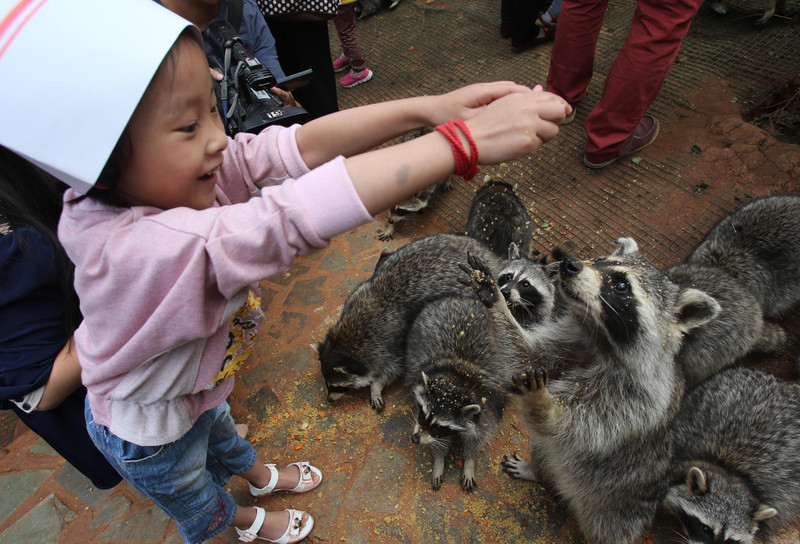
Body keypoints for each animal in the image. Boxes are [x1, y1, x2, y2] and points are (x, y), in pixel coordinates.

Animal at [318, 233, 500, 412]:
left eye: (337, 386)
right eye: (326, 382)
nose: (329, 399)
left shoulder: (394, 341)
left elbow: (394, 369)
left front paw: (375, 386)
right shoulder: (357, 295)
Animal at [406, 296, 506, 490]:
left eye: (438, 426)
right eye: (422, 414)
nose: (415, 439)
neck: (459, 380)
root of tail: (461, 299)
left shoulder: (489, 405)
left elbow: (478, 436)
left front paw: (469, 461)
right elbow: (439, 442)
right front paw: (439, 459)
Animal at [496, 240, 720, 544]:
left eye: (621, 285)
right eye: (600, 260)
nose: (570, 264)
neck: (601, 337)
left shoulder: (633, 399)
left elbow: (567, 426)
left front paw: (544, 403)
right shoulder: (571, 341)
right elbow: (526, 358)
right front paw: (491, 298)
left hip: (615, 508)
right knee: (545, 449)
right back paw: (539, 471)